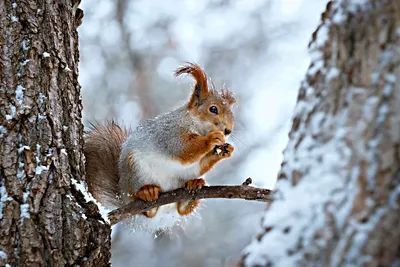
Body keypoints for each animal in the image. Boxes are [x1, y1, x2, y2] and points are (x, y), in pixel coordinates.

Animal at [83, 62, 236, 230]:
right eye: (213, 109)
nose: (228, 130)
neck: (192, 123)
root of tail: (122, 195)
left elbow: (200, 163)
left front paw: (224, 151)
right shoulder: (170, 135)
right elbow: (183, 151)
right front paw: (212, 139)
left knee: (182, 209)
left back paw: (193, 187)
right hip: (135, 172)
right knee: (146, 210)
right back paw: (147, 192)